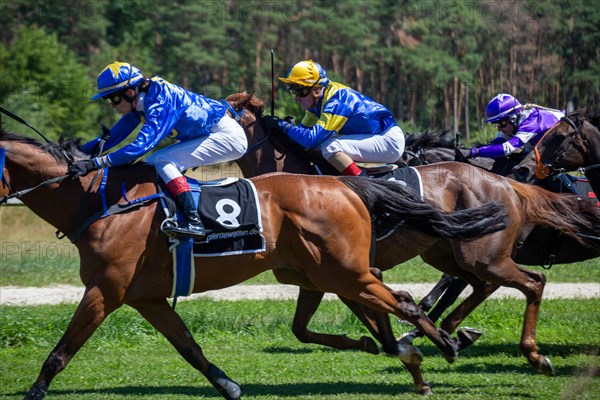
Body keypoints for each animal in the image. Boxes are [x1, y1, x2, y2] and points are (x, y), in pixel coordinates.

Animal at [1, 129, 510, 400]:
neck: (99, 203)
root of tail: (348, 186)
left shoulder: (105, 290)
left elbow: (61, 350)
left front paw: (34, 392)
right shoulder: (145, 296)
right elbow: (189, 346)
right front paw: (228, 385)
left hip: (345, 270)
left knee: (406, 300)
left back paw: (443, 344)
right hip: (325, 272)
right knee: (402, 301)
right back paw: (422, 350)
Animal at [224, 93, 600, 382]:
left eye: (224, 111)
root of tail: (508, 183)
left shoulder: (352, 271)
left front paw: (405, 338)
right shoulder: (329, 274)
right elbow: (310, 326)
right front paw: (394, 340)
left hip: (479, 255)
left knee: (524, 282)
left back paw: (524, 352)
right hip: (449, 252)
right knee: (481, 284)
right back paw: (457, 333)